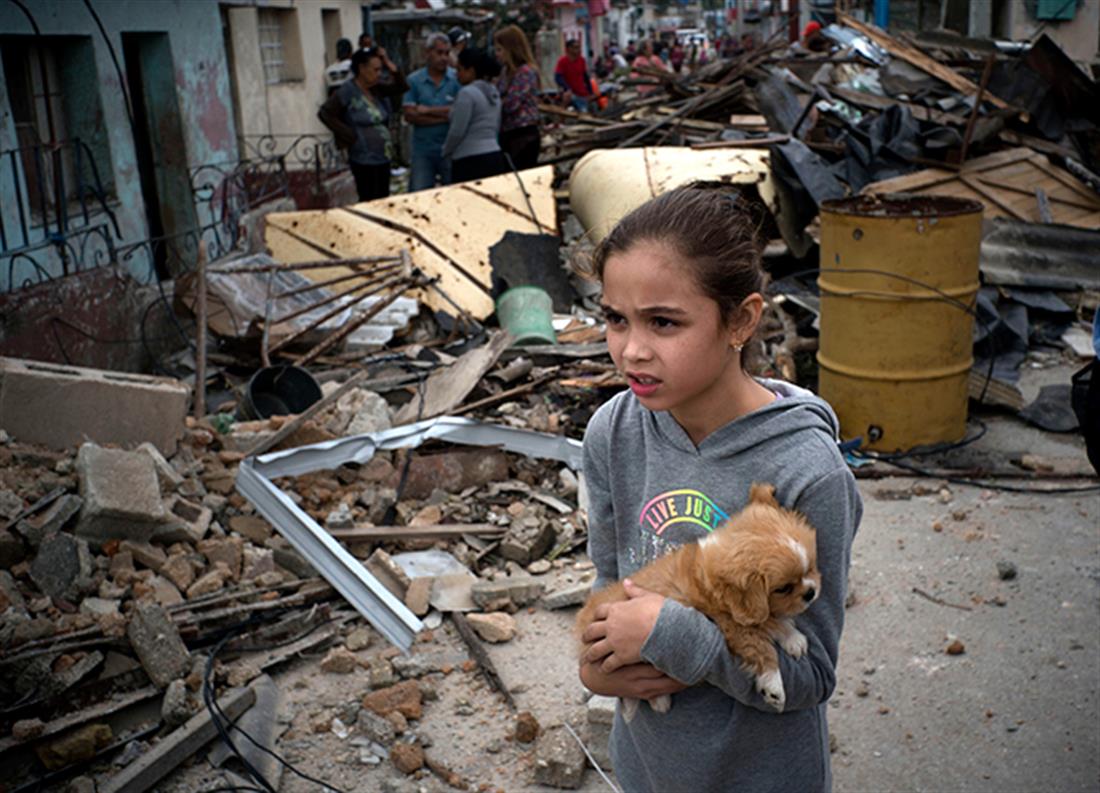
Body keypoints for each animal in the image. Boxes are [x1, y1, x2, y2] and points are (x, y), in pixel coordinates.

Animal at [576, 481, 818, 717]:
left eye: (811, 568)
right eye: (784, 588)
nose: (811, 592)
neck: (707, 575)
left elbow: (773, 620)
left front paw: (792, 637)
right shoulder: (733, 625)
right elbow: (763, 645)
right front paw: (774, 685)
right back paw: (656, 700)